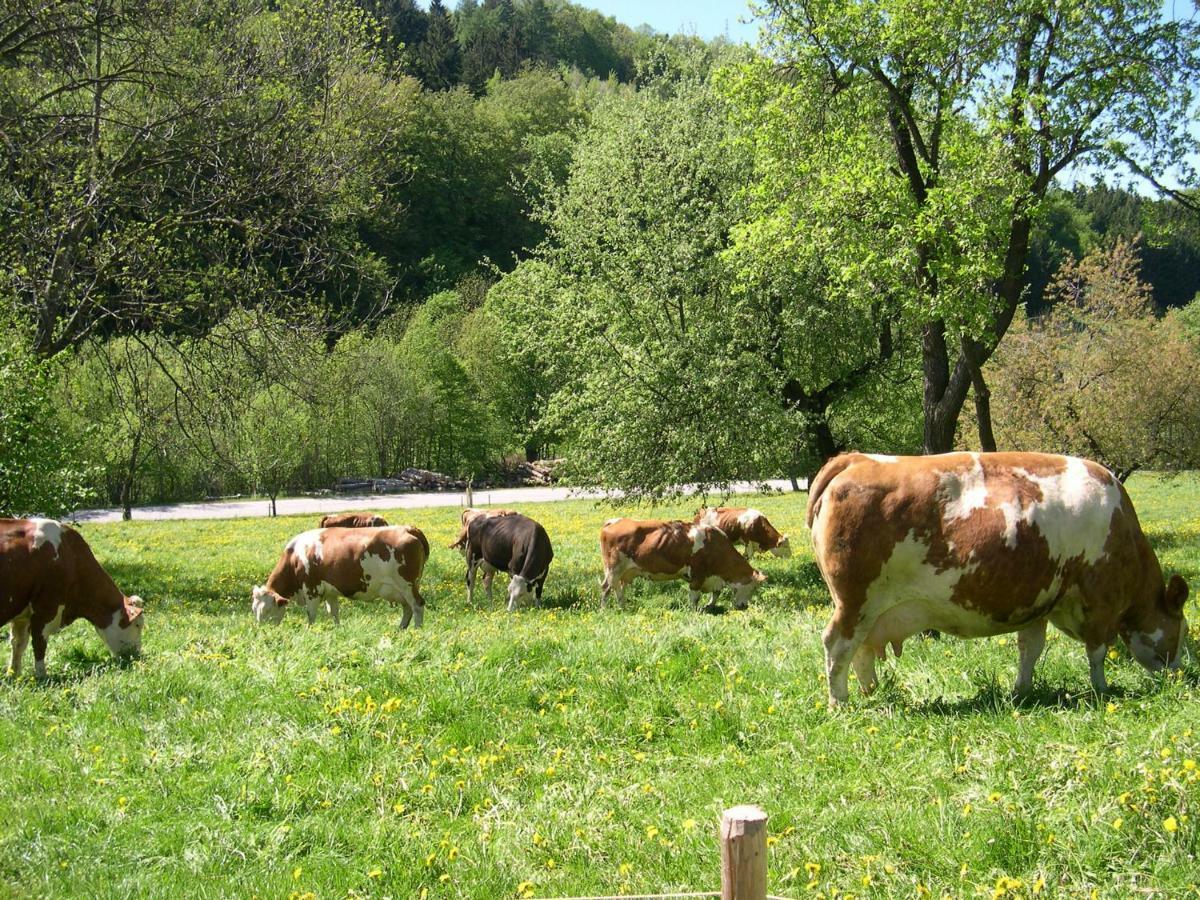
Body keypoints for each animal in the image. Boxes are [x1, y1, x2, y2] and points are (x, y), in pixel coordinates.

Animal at [1, 518, 145, 681]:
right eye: (138, 625)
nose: (137, 656)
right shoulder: (46, 609)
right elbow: (39, 643)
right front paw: (42, 676)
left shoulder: (22, 614)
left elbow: (18, 643)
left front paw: (13, 674)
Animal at [250, 528, 429, 628]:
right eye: (253, 609)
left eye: (266, 610)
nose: (262, 631)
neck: (295, 557)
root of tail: (408, 528)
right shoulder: (330, 592)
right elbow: (333, 612)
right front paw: (337, 630)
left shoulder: (311, 590)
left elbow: (311, 615)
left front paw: (309, 631)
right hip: (401, 589)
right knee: (407, 609)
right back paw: (401, 629)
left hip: (407, 585)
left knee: (417, 606)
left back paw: (416, 631)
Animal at [600, 520, 768, 614]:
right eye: (753, 587)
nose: (744, 606)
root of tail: (614, 522)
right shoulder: (698, 574)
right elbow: (694, 597)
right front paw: (693, 611)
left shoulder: (712, 577)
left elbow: (716, 593)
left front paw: (709, 605)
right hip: (613, 569)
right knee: (607, 588)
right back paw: (605, 610)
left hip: (626, 572)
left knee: (619, 589)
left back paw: (622, 607)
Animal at [806, 453, 1190, 710]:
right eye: (1181, 631)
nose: (1179, 675)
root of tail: (855, 459)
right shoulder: (1100, 601)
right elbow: (1097, 653)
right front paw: (1101, 690)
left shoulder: (1037, 602)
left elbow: (1030, 649)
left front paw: (1022, 690)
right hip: (855, 602)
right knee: (837, 645)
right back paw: (839, 703)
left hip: (867, 610)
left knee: (860, 650)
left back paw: (869, 692)